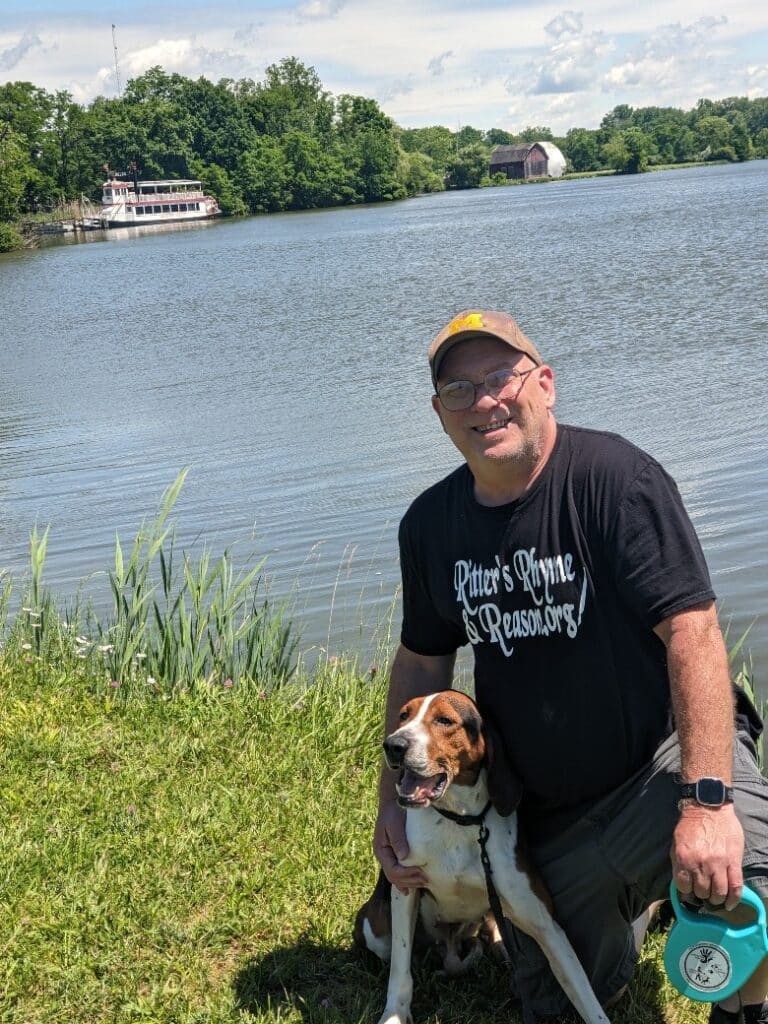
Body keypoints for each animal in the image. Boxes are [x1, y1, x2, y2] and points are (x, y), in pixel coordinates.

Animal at [354, 688, 614, 1024]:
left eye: (444, 720)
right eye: (404, 715)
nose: (393, 745)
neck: (459, 821)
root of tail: (450, 945)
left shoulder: (545, 922)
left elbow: (581, 988)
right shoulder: (404, 889)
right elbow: (400, 969)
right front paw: (394, 1015)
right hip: (374, 926)